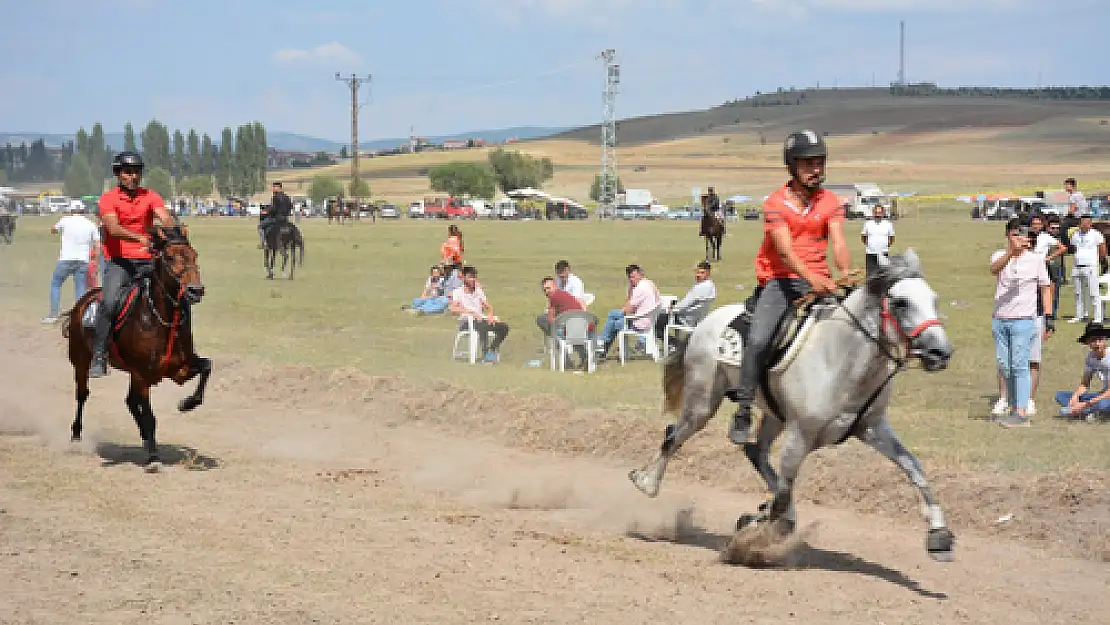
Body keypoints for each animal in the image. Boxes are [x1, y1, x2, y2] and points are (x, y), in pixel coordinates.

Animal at [62, 225, 212, 470]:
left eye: (194, 255)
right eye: (170, 258)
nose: (195, 290)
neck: (160, 318)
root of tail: (82, 302)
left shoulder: (179, 369)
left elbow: (207, 367)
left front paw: (187, 404)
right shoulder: (142, 375)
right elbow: (149, 416)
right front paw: (153, 458)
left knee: (130, 402)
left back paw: (145, 439)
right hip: (80, 361)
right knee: (83, 395)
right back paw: (76, 436)